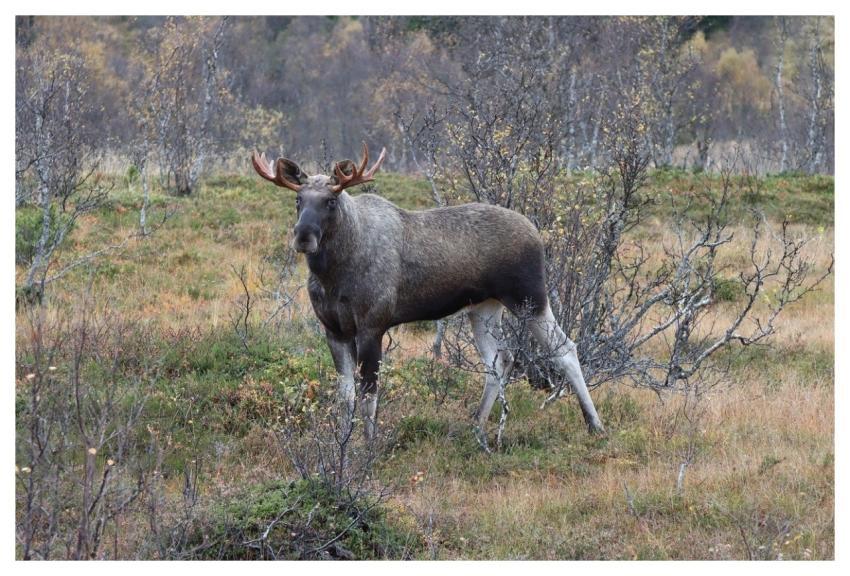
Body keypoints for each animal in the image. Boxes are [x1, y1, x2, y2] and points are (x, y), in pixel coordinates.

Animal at [251, 143, 605, 450]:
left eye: (330, 201)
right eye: (298, 200)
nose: (303, 236)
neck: (333, 274)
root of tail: (536, 233)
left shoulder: (372, 325)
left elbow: (368, 395)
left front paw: (368, 446)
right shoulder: (334, 330)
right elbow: (346, 395)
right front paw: (343, 441)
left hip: (528, 297)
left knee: (565, 348)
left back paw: (594, 424)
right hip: (484, 308)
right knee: (500, 359)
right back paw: (476, 426)